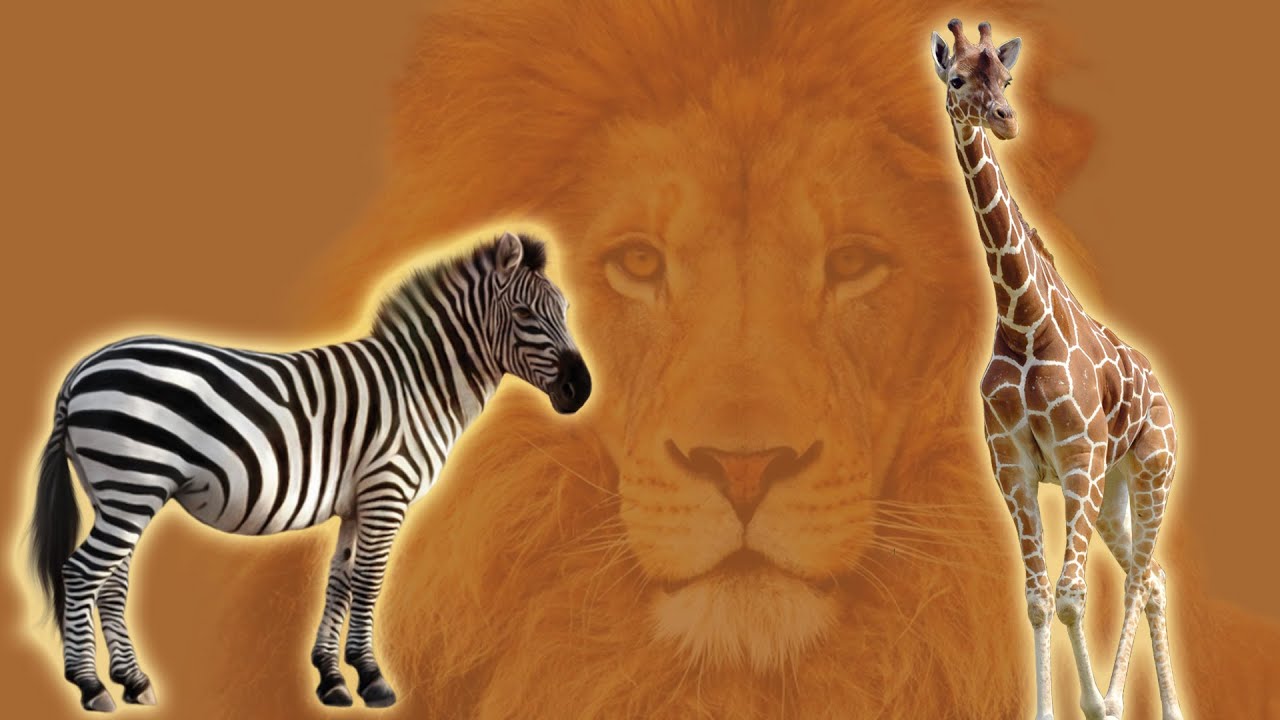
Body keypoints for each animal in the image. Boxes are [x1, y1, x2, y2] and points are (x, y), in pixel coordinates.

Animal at [29, 232, 591, 712]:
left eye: (566, 310)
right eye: (523, 312)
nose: (581, 390)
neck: (419, 386)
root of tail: (81, 369)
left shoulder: (358, 502)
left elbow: (340, 581)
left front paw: (333, 678)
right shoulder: (386, 491)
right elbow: (369, 581)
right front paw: (373, 679)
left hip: (118, 490)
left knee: (111, 582)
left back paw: (133, 681)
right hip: (132, 484)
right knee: (81, 573)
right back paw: (90, 685)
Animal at [202, 1, 1280, 718]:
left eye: (855, 260)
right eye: (637, 262)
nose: (744, 470)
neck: (1016, 314)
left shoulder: (1069, 458)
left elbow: (1054, 594)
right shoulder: (1018, 466)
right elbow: (1033, 594)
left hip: (1139, 468)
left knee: (1145, 576)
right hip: (1110, 488)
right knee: (1140, 575)